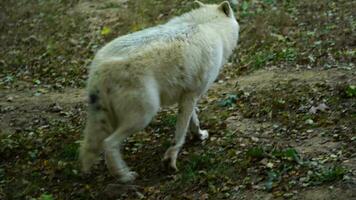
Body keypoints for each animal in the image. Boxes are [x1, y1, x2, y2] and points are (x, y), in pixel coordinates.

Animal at [79, 0, 241, 183]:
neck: (209, 26)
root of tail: (99, 70)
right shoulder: (191, 95)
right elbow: (180, 133)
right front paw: (171, 160)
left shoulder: (187, 96)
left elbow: (193, 121)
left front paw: (199, 135)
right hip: (145, 114)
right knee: (108, 143)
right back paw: (125, 176)